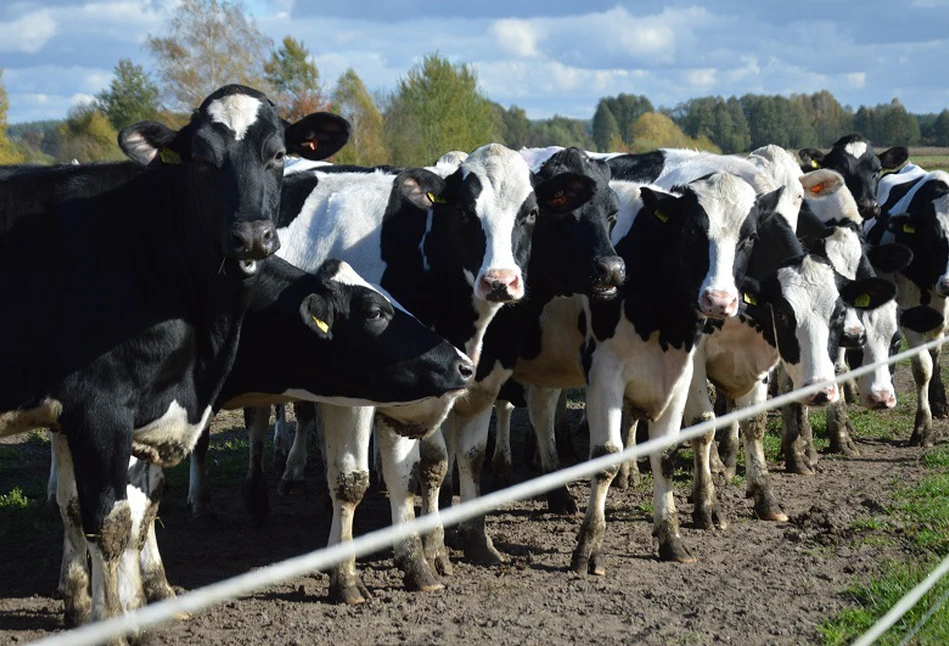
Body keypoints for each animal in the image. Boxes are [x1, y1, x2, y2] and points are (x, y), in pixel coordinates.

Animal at [0, 83, 348, 632]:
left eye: (277, 155)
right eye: (201, 159)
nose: (252, 237)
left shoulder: (120, 410)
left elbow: (127, 509)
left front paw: (122, 602)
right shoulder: (99, 409)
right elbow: (110, 521)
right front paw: (114, 623)